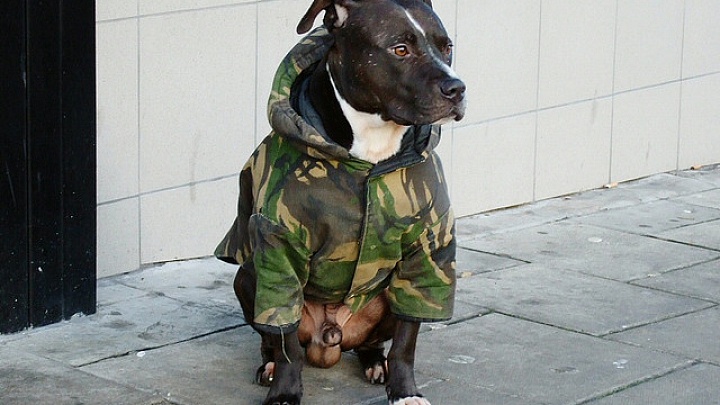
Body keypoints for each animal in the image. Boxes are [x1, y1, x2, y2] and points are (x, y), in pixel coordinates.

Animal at [215, 1, 466, 404]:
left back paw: (375, 363)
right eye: (400, 49)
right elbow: (285, 341)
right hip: (247, 277)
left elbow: (407, 341)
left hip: (386, 298)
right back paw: (269, 367)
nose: (457, 88)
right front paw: (285, 391)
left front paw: (405, 391)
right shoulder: (278, 248)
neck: (372, 150)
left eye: (447, 46)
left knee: (374, 342)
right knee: (273, 339)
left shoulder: (428, 250)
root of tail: (329, 338)